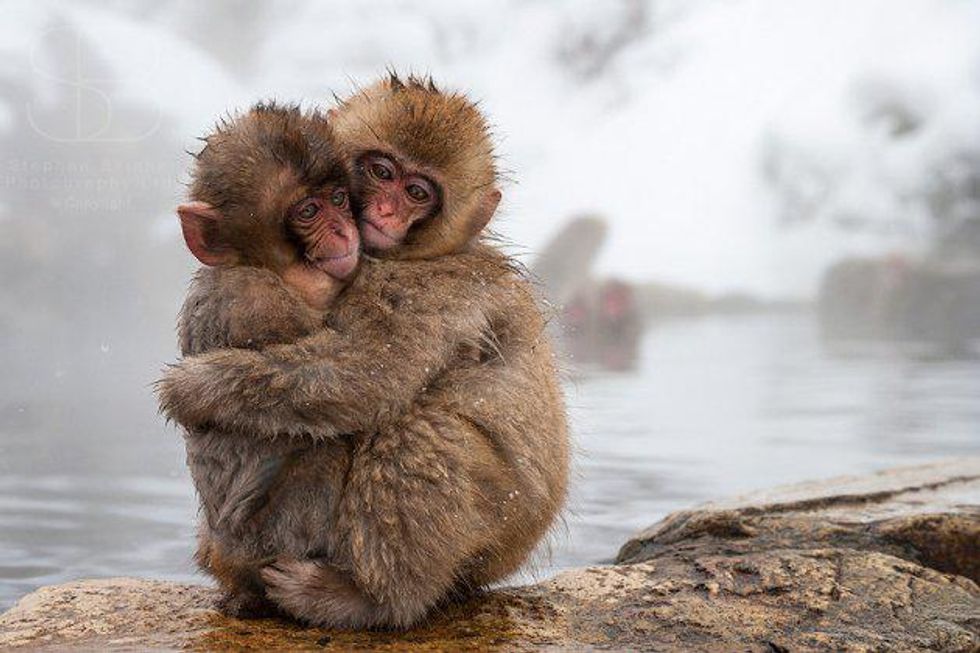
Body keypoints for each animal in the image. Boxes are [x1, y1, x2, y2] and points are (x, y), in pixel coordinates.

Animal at [159, 75, 570, 630]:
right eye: (381, 172)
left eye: (417, 193)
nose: (383, 212)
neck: (424, 254)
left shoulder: (420, 288)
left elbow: (370, 373)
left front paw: (192, 387)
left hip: (501, 522)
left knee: (419, 432)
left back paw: (370, 600)